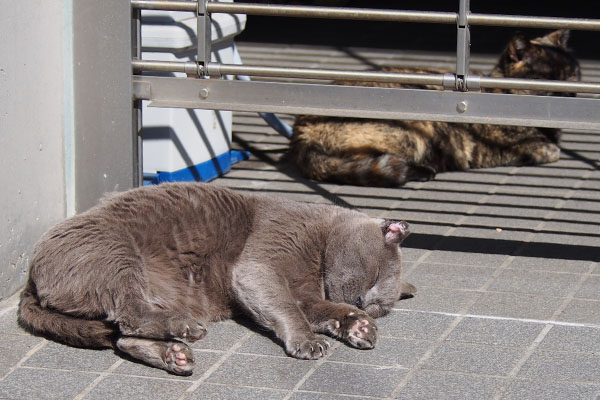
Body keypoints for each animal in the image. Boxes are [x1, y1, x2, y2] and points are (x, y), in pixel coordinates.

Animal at [17, 183, 412, 376]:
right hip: (116, 253)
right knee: (128, 315)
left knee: (123, 335)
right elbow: (286, 307)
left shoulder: (306, 293)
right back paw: (183, 329)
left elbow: (317, 308)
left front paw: (358, 326)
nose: (363, 305)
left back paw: (174, 355)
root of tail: (30, 278)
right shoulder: (261, 264)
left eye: (378, 307)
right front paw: (308, 341)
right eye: (373, 278)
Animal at [290, 29, 580, 188]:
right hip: (410, 135)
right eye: (551, 79)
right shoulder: (521, 147)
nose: (572, 92)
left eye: (574, 74)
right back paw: (422, 171)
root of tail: (299, 132)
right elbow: (548, 149)